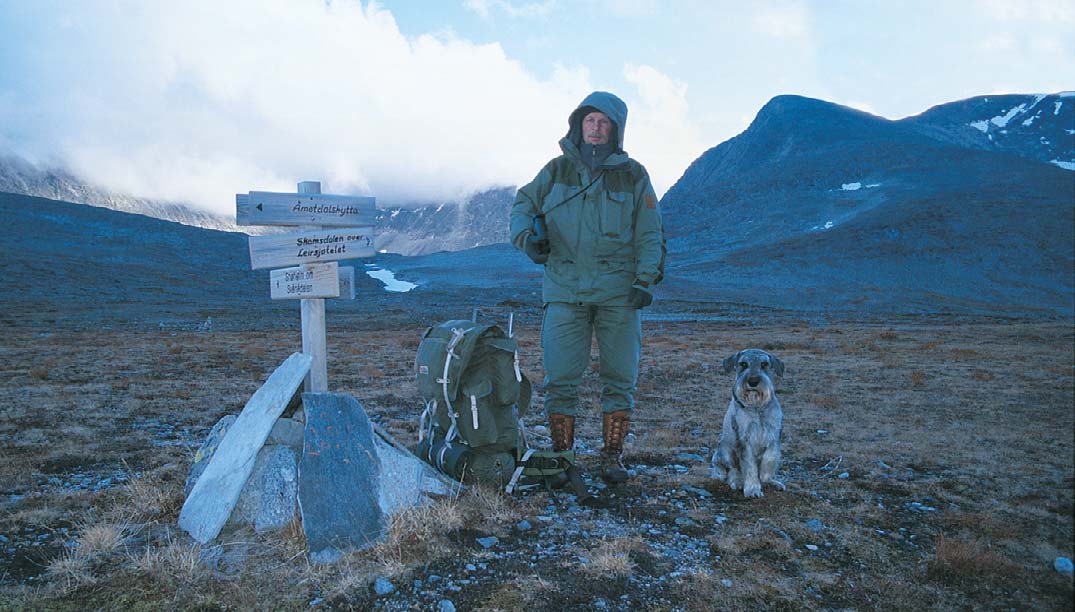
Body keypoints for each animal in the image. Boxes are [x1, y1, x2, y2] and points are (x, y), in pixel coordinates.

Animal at [709, 348, 786, 496]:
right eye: (743, 364)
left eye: (764, 364)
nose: (753, 381)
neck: (757, 408)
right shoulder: (744, 439)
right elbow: (749, 466)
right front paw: (753, 488)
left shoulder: (774, 433)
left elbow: (771, 456)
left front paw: (766, 476)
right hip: (724, 450)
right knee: (732, 471)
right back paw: (737, 481)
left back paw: (774, 482)